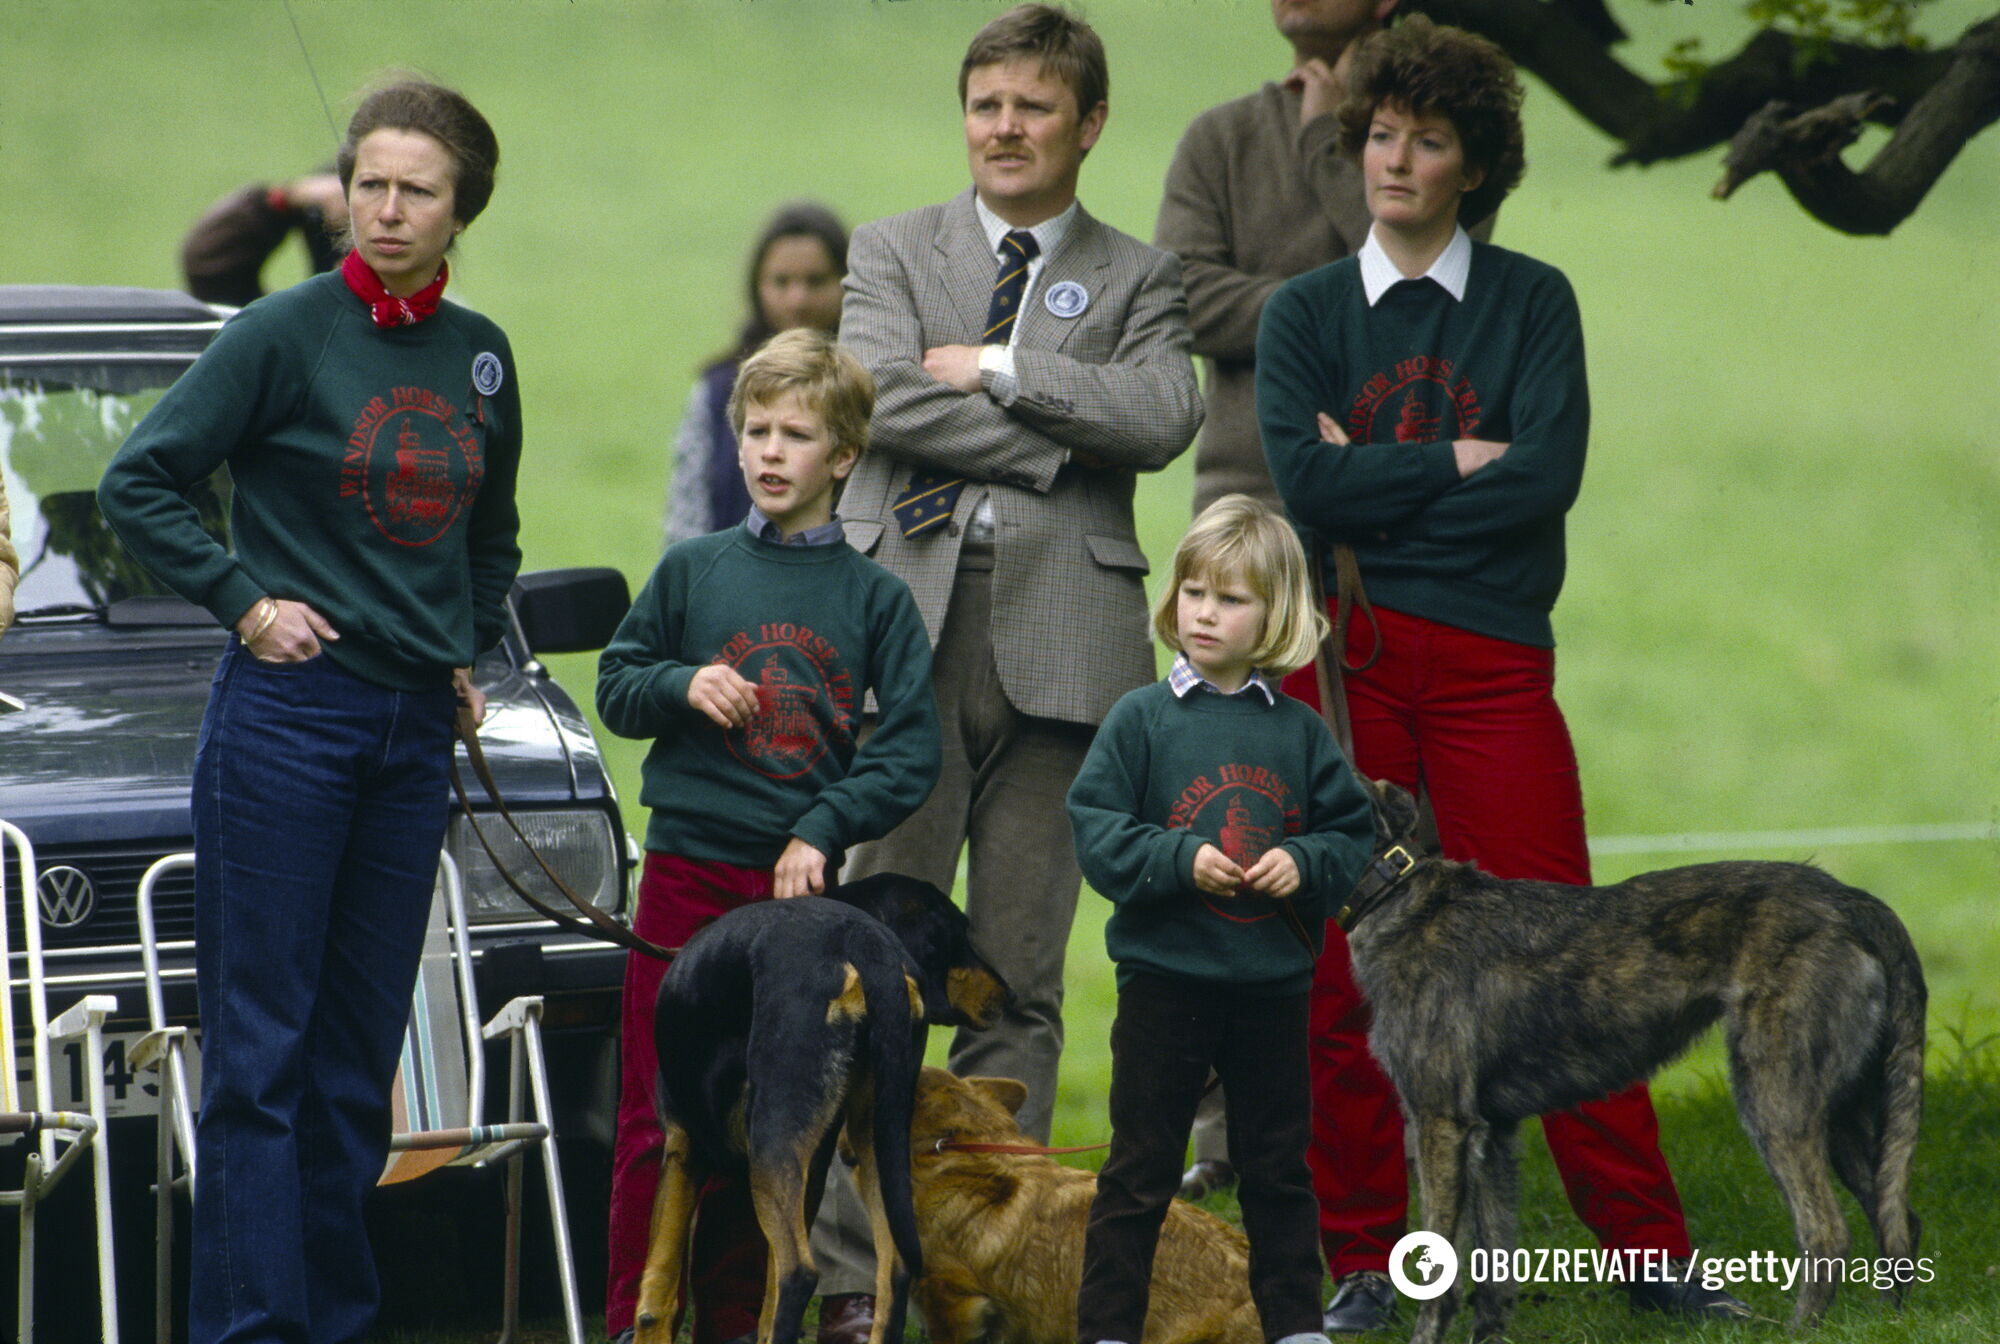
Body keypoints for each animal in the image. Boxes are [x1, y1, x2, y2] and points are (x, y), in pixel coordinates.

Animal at [632, 876, 1008, 1344]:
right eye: (957, 937)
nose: (1010, 997)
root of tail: (862, 940)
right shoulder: (812, 1163)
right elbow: (765, 1300)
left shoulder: (683, 1146)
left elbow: (657, 1294)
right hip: (876, 1140)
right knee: (893, 1271)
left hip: (772, 1144)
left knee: (799, 1273)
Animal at [1344, 784, 1920, 1336]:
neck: (1396, 897)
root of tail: (1850, 900)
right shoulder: (1494, 1135)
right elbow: (1493, 1271)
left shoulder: (1441, 1124)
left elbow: (1439, 1277)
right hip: (1847, 1111)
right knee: (1898, 1219)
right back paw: (1889, 1318)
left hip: (1774, 1101)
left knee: (1826, 1231)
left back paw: (1800, 1330)